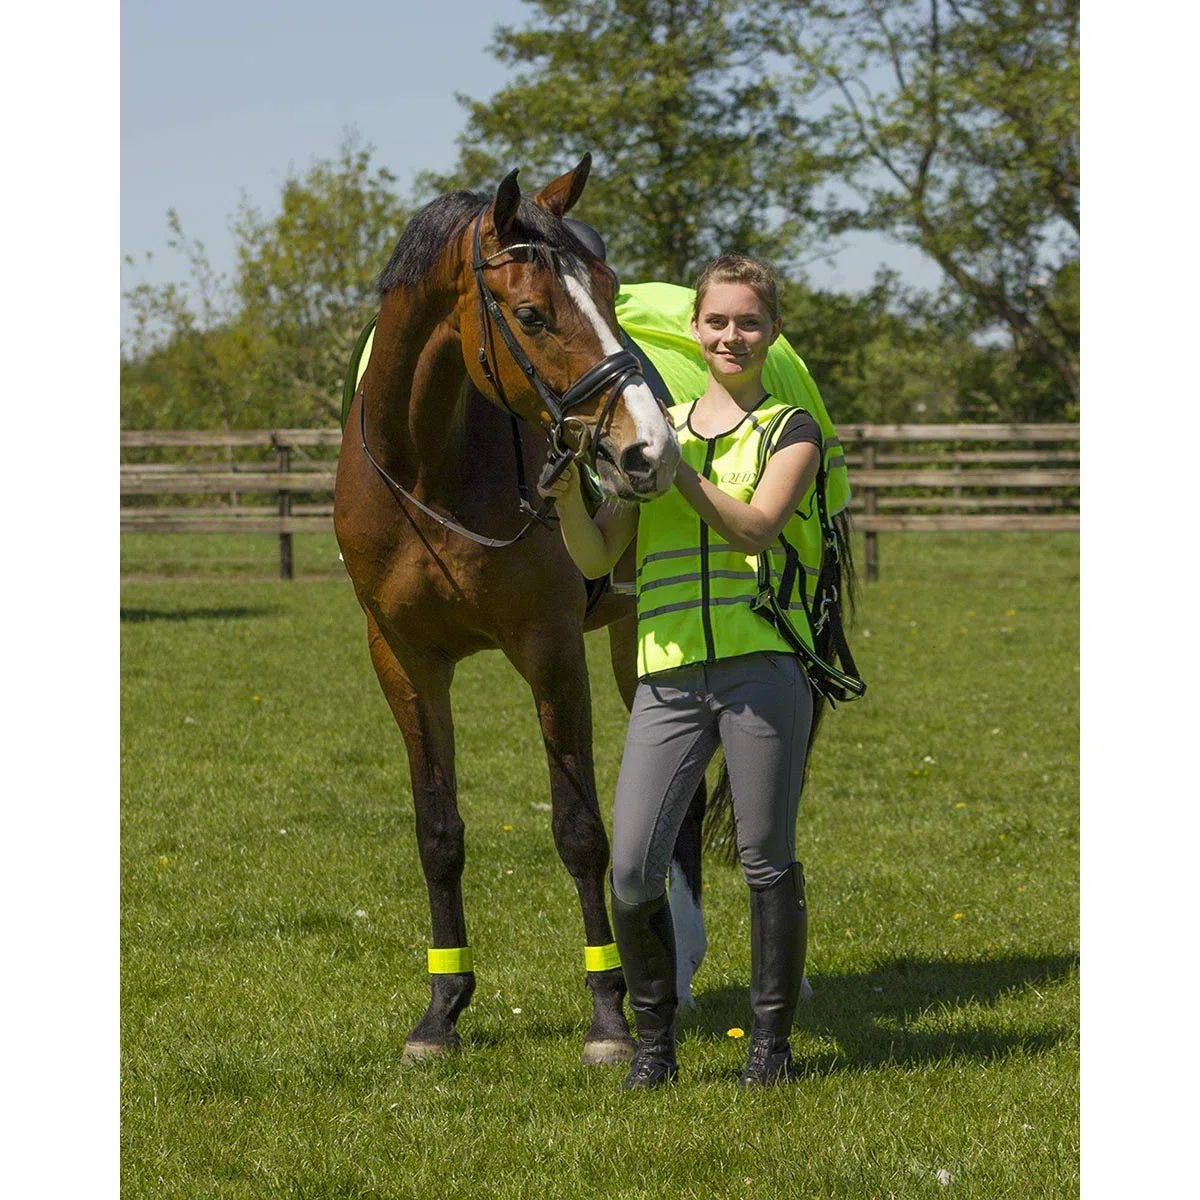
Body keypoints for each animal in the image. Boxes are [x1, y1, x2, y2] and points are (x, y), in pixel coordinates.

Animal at [333, 156, 710, 1066]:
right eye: (533, 314)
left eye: (610, 293)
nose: (651, 450)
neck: (427, 471)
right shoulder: (405, 662)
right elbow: (438, 834)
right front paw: (442, 1010)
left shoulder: (550, 651)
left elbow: (579, 832)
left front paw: (609, 1015)